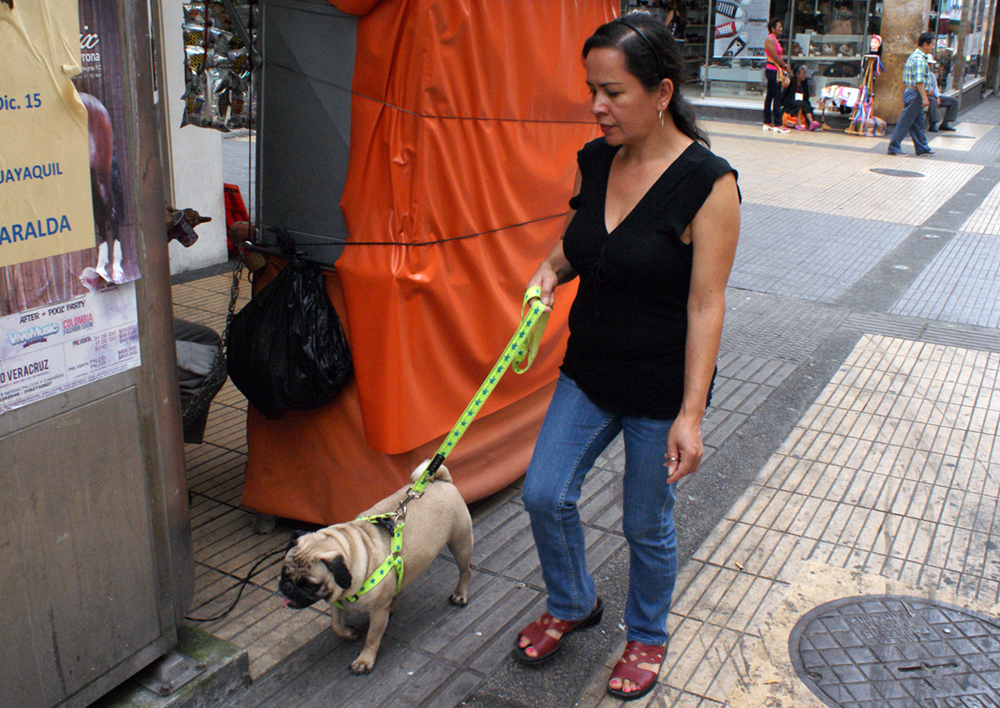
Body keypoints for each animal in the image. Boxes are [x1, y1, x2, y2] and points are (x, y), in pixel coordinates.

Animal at [278, 462, 472, 672]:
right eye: (283, 572)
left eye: (309, 585)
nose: (287, 587)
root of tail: (442, 481)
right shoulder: (337, 601)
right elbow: (336, 626)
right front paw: (349, 633)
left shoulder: (377, 613)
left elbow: (372, 638)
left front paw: (364, 660)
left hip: (460, 541)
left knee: (465, 570)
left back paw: (460, 595)